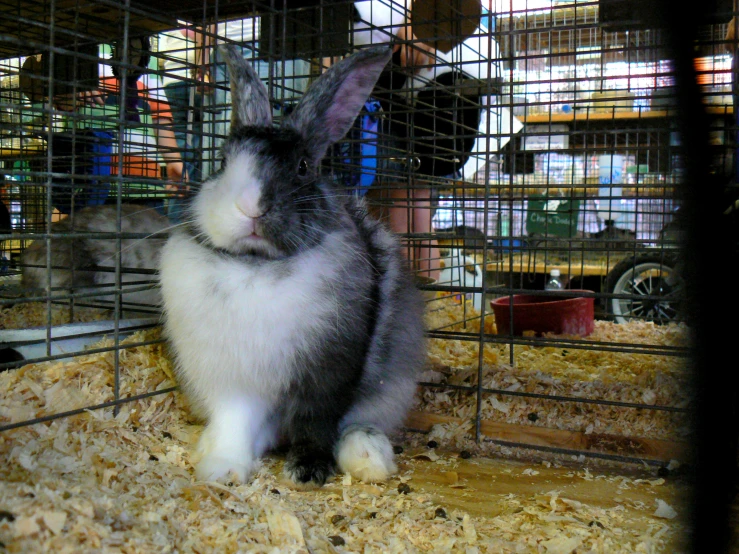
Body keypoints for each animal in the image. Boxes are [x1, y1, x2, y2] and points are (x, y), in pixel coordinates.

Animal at [160, 45, 428, 486]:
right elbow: (235, 422)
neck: (256, 268)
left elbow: (315, 421)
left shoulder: (327, 372)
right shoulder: (231, 381)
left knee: (356, 424)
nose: (249, 205)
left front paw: (307, 470)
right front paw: (222, 469)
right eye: (223, 160)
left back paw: (368, 455)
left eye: (302, 167)